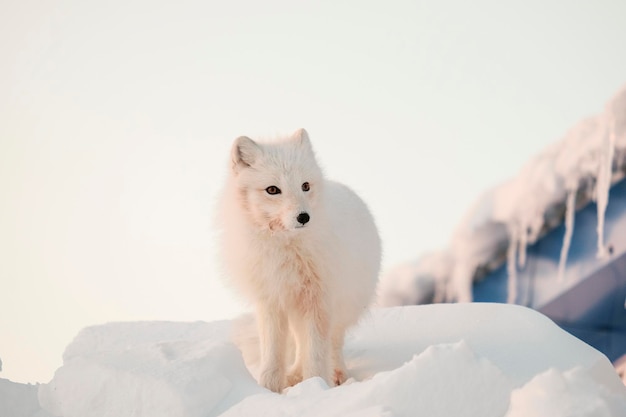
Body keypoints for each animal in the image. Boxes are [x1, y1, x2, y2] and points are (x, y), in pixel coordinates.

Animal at [217, 128, 378, 392]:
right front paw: (269, 389)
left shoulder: (318, 300)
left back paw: (336, 375)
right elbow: (273, 354)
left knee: (332, 343)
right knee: (299, 343)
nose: (304, 217)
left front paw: (315, 386)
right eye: (272, 190)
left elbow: (316, 353)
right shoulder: (271, 300)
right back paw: (294, 376)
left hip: (340, 305)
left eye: (305, 186)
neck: (285, 248)